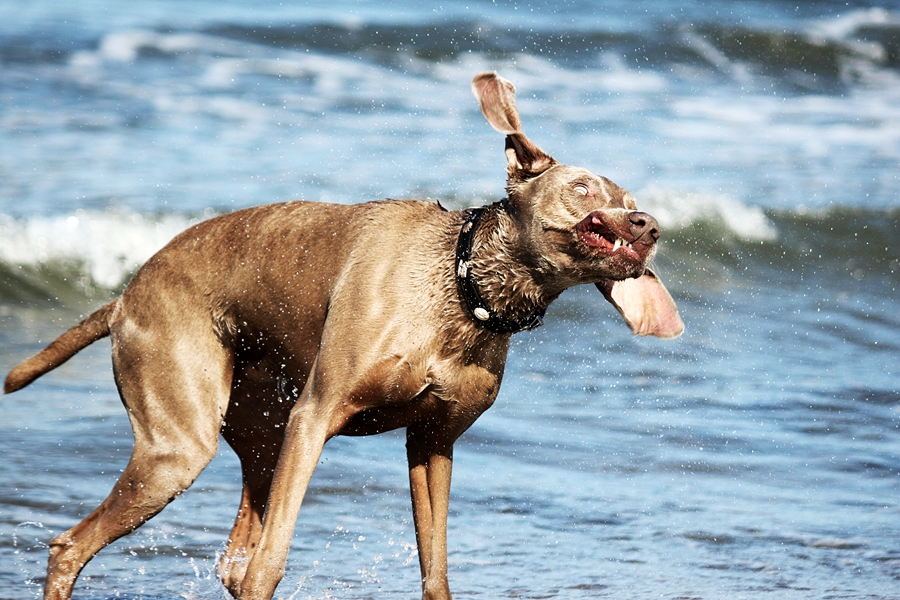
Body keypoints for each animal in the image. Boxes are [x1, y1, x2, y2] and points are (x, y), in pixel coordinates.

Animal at [3, 71, 680, 600]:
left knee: (229, 558)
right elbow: (270, 564)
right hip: (182, 444)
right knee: (75, 546)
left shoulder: (433, 442)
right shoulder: (316, 416)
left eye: (630, 198)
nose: (648, 225)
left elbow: (435, 570)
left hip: (260, 430)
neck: (464, 289)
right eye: (583, 189)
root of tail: (125, 294)